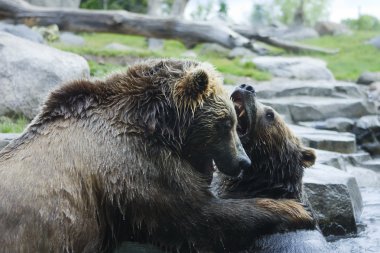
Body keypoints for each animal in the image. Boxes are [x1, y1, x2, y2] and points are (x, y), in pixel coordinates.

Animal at [0, 59, 314, 253]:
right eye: (226, 123)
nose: (243, 162)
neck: (158, 125)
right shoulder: (137, 165)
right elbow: (198, 216)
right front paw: (294, 209)